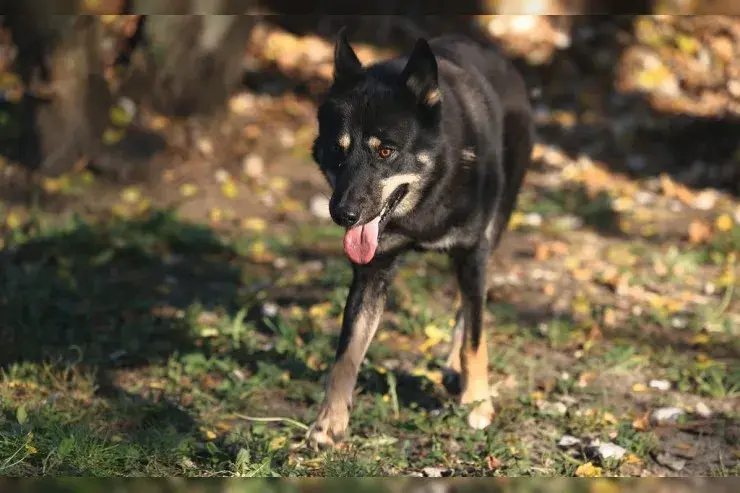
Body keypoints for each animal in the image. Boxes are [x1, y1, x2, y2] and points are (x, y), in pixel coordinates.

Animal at [307, 28, 533, 448]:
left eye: (386, 151)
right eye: (337, 150)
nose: (343, 215)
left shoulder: (472, 252)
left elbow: (475, 337)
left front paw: (478, 402)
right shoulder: (372, 272)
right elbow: (347, 351)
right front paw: (329, 421)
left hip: (495, 226)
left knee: (469, 308)